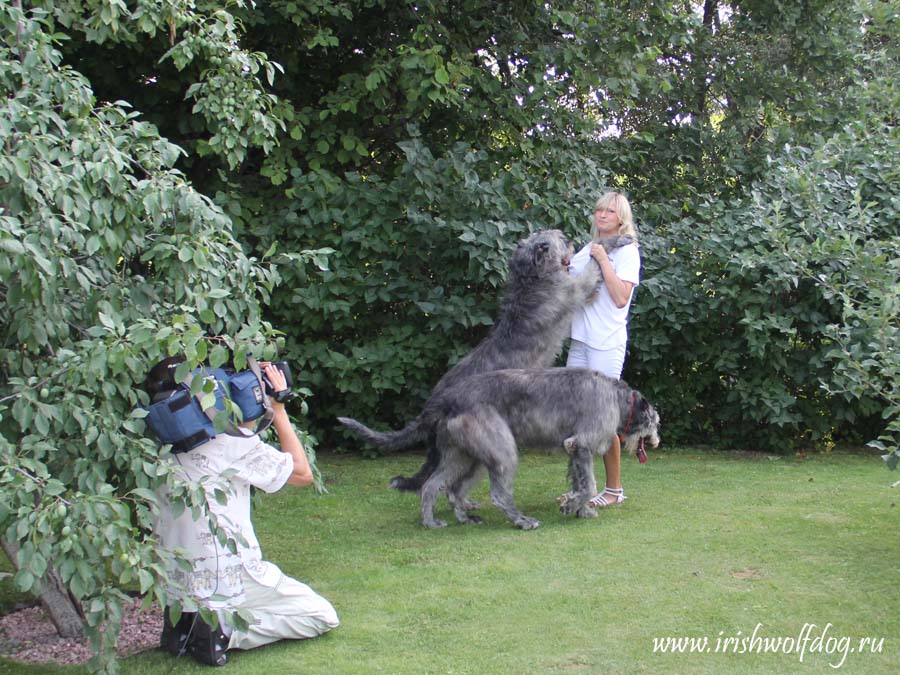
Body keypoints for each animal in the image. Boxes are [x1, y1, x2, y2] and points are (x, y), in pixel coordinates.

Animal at [338, 230, 632, 494]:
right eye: (558, 238)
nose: (569, 240)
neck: (532, 278)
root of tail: (431, 405)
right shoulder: (570, 290)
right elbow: (592, 269)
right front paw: (613, 240)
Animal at [416, 368, 660, 532]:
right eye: (656, 422)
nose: (656, 442)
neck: (616, 398)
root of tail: (450, 399)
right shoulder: (581, 442)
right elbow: (589, 485)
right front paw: (571, 506)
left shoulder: (574, 449)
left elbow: (578, 482)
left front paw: (581, 510)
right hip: (500, 449)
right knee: (498, 495)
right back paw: (522, 521)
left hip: (463, 455)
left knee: (436, 485)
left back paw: (439, 521)